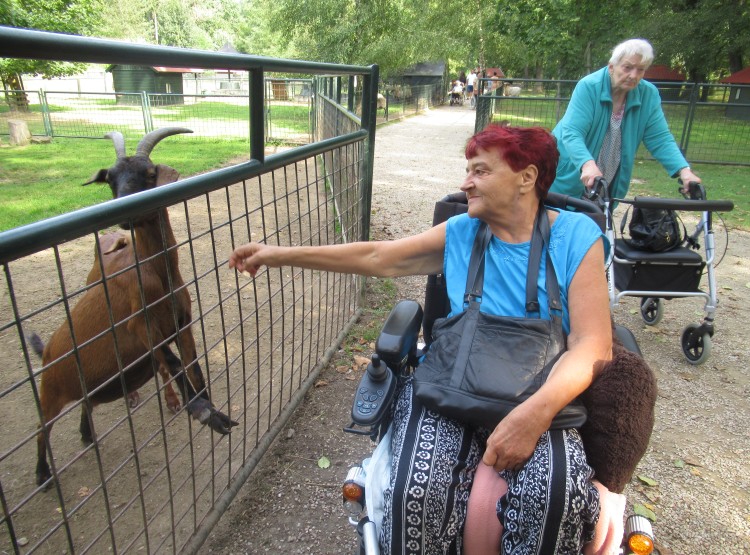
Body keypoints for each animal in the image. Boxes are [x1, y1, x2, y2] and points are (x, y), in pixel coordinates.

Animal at [30, 128, 236, 488]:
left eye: (150, 173)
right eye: (110, 180)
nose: (122, 210)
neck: (156, 273)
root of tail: (46, 354)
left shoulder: (182, 321)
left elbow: (193, 365)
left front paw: (209, 405)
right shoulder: (140, 324)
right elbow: (174, 361)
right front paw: (203, 411)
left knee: (86, 404)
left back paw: (87, 435)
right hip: (51, 391)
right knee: (44, 429)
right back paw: (43, 475)